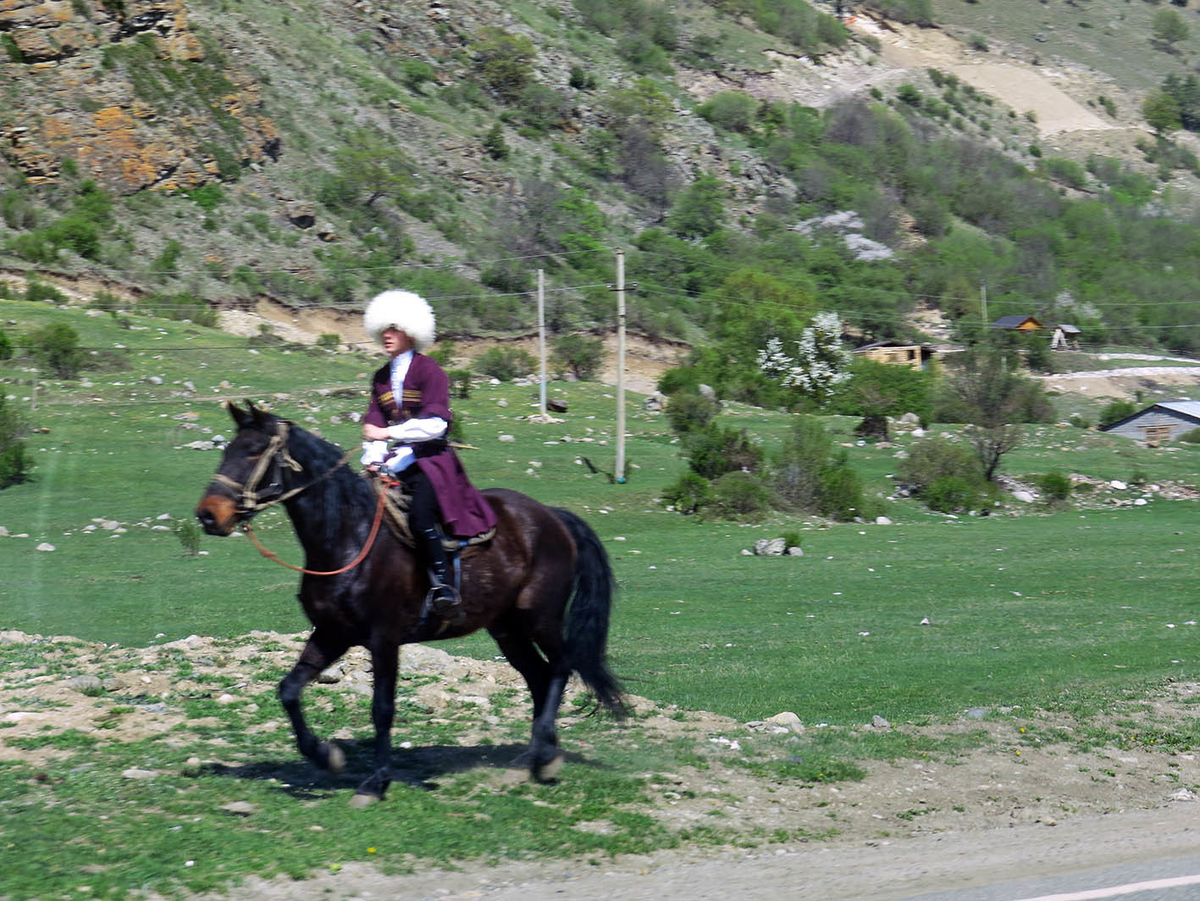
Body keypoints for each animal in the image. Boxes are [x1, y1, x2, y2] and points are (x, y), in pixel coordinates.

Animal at [192, 405, 624, 806]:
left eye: (252, 452)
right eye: (227, 449)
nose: (208, 515)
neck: (348, 537)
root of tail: (553, 517)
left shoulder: (383, 639)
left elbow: (382, 708)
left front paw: (375, 781)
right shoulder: (331, 634)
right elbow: (288, 690)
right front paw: (325, 756)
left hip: (540, 618)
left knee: (561, 668)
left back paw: (541, 756)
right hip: (506, 628)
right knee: (539, 676)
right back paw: (536, 757)